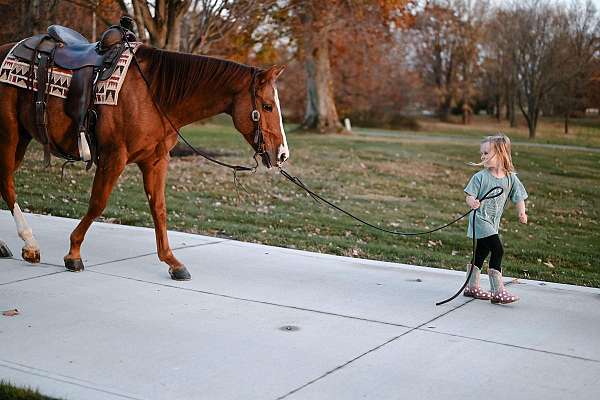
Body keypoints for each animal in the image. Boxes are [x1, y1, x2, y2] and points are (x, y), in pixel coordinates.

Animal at [0, 43, 288, 280]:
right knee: (7, 182)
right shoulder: (114, 157)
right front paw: (73, 253)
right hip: (10, 135)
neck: (155, 94)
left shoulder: (155, 161)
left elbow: (159, 209)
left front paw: (173, 262)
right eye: (267, 106)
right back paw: (30, 245)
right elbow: (98, 203)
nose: (283, 154)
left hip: (22, 137)